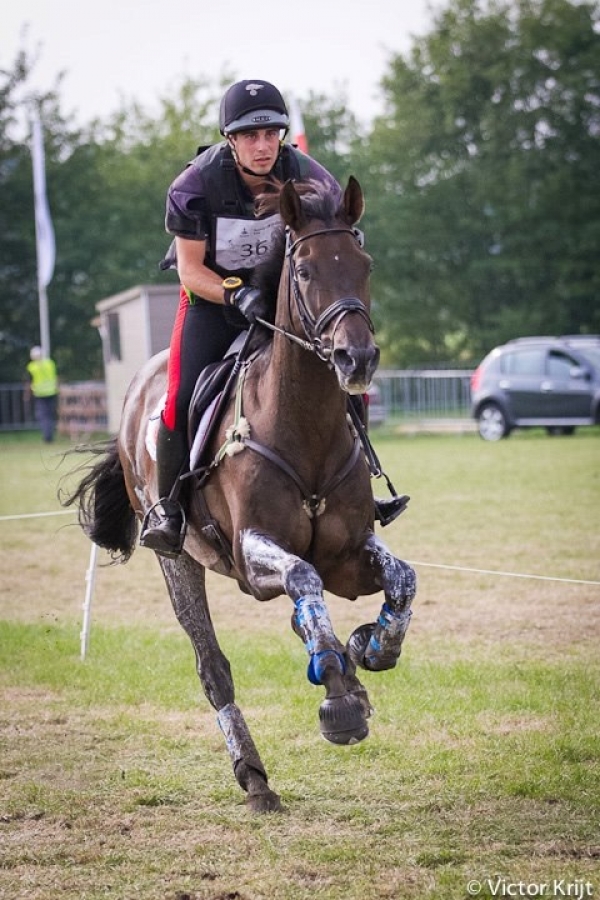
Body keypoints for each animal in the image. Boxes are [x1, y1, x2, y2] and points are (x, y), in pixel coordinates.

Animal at [62, 178, 418, 816]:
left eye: (365, 265)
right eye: (303, 270)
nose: (356, 358)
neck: (304, 427)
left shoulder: (350, 556)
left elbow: (401, 579)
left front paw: (369, 647)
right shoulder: (256, 559)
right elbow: (301, 576)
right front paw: (339, 697)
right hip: (176, 558)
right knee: (213, 668)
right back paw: (254, 776)